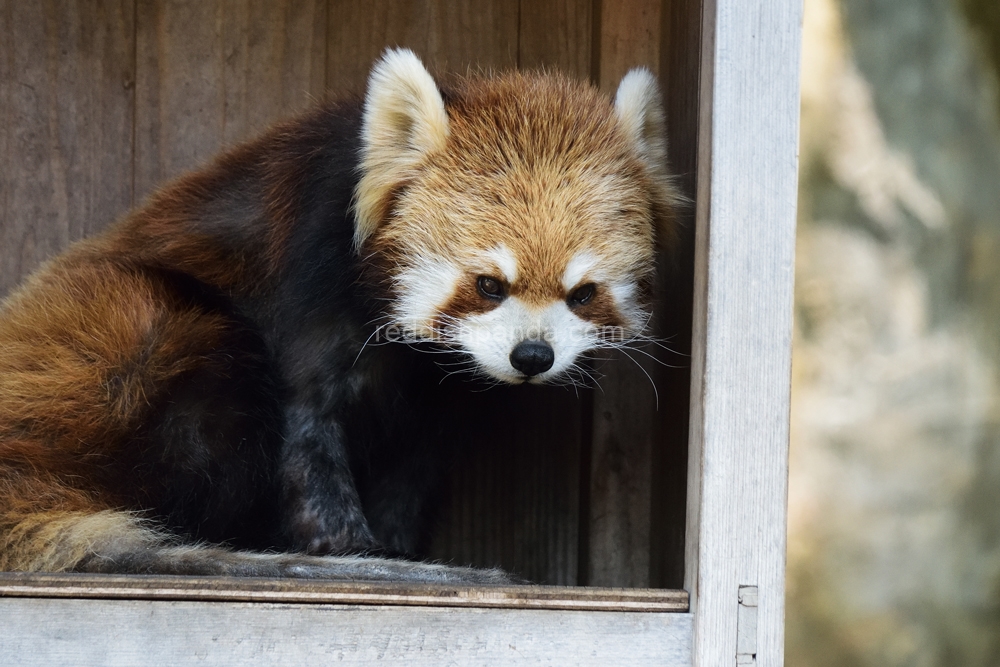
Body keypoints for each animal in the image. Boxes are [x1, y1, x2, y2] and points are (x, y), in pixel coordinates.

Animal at [0, 49, 680, 580]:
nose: (533, 356)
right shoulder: (308, 276)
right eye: (489, 284)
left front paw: (397, 544)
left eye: (582, 293)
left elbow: (415, 460)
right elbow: (307, 424)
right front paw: (350, 546)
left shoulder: (434, 391)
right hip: (131, 330)